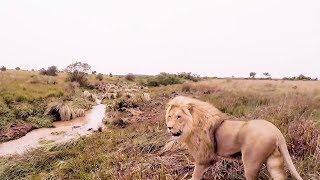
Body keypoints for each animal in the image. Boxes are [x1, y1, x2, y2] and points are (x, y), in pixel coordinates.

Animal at [165, 96, 302, 180]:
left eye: (179, 116)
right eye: (169, 116)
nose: (169, 127)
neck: (193, 125)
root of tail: (276, 131)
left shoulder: (203, 158)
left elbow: (195, 175)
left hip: (251, 163)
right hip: (274, 161)